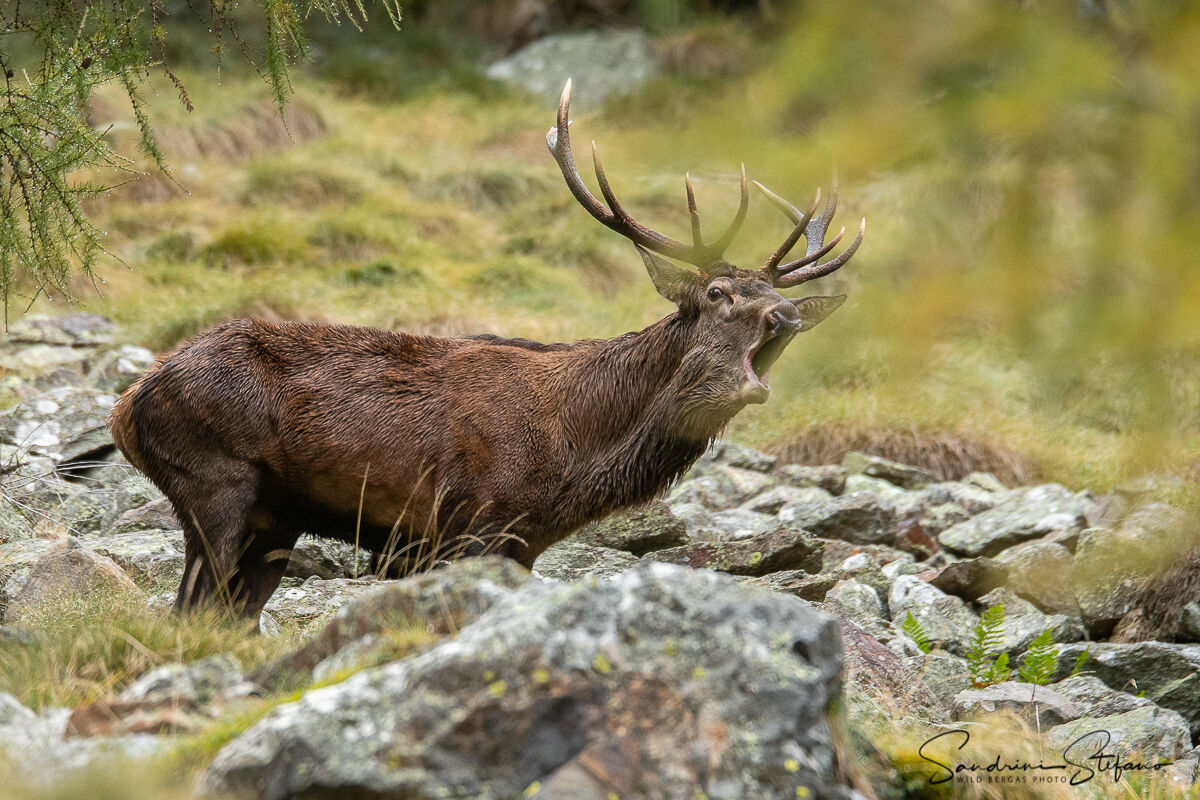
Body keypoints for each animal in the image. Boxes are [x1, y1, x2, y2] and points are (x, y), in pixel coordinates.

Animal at [108, 80, 864, 618]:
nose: (786, 313)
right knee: (185, 613)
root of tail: (127, 406)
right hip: (215, 484)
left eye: (764, 293)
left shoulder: (521, 544)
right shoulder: (468, 523)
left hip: (275, 523)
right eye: (717, 292)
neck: (575, 455)